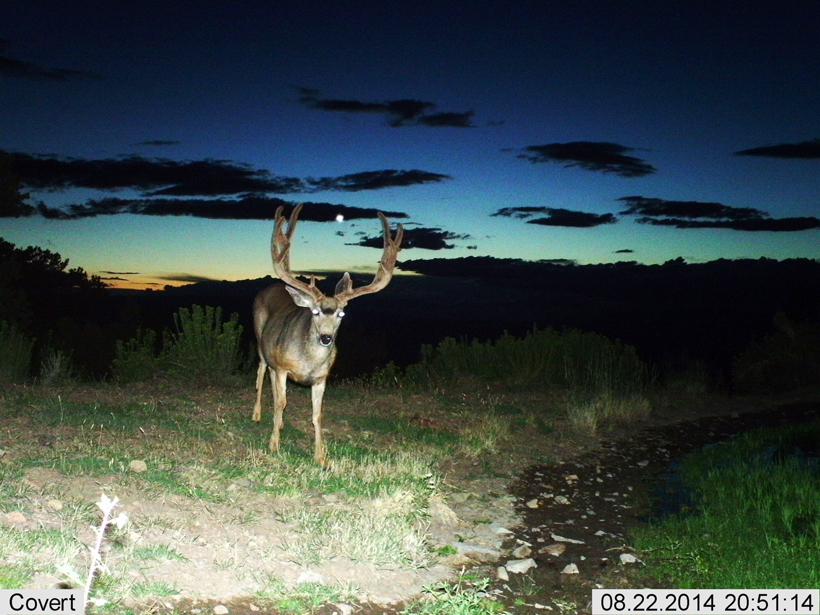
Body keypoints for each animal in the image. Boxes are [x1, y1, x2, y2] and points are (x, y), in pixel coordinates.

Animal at [252, 204, 404, 464]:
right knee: (262, 371)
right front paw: (273, 445)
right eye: (314, 311)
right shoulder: (283, 367)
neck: (307, 363)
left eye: (341, 314)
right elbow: (281, 403)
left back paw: (278, 424)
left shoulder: (321, 378)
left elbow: (317, 415)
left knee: (269, 377)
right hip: (261, 340)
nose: (326, 338)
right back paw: (257, 414)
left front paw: (320, 456)